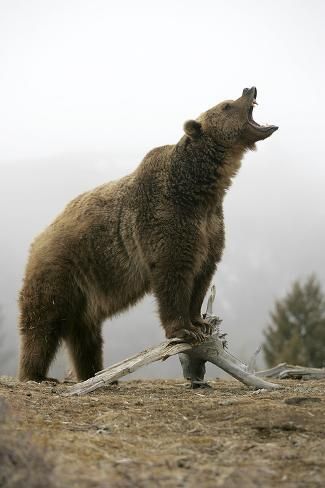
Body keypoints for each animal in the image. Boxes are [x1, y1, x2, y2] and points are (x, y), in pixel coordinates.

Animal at [17, 86, 278, 382]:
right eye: (225, 105)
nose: (249, 88)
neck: (200, 190)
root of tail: (39, 239)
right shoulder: (165, 219)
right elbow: (173, 272)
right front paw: (184, 330)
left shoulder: (210, 227)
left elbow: (202, 274)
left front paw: (200, 322)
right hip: (62, 269)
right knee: (43, 323)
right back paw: (37, 374)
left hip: (85, 292)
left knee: (85, 335)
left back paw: (95, 373)